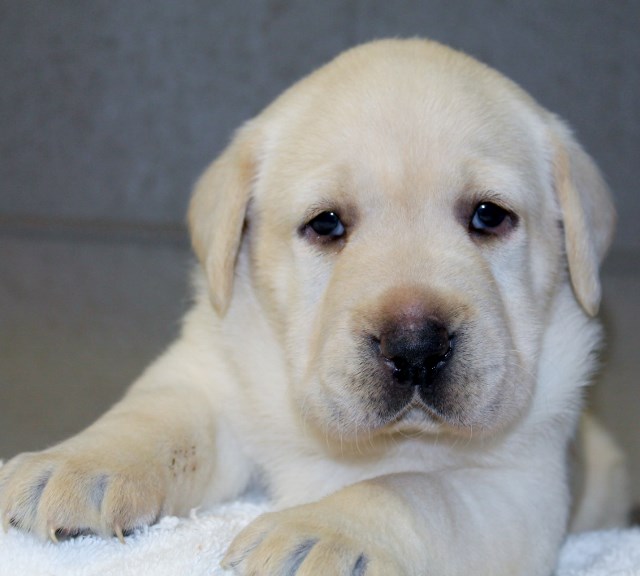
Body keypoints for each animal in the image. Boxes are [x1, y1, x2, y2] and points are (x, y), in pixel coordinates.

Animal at [0, 39, 632, 576]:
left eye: (488, 216)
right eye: (326, 224)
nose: (416, 347)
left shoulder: (518, 491)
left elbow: (415, 490)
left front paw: (322, 531)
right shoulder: (214, 377)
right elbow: (159, 416)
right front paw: (80, 466)